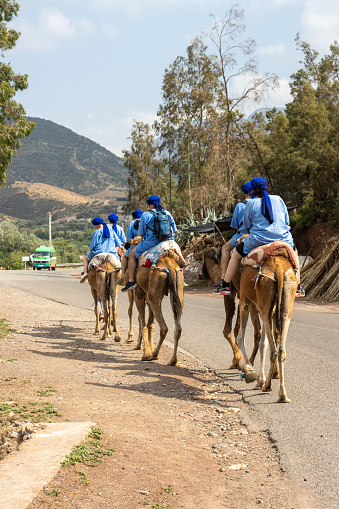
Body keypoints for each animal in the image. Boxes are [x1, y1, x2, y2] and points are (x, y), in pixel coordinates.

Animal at [235, 244, 298, 402]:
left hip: (261, 296)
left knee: (273, 349)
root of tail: (279, 270)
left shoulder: (245, 300)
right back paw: (282, 394)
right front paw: (259, 379)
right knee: (280, 349)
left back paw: (268, 386)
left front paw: (251, 374)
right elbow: (264, 344)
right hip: (286, 299)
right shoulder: (266, 309)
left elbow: (241, 337)